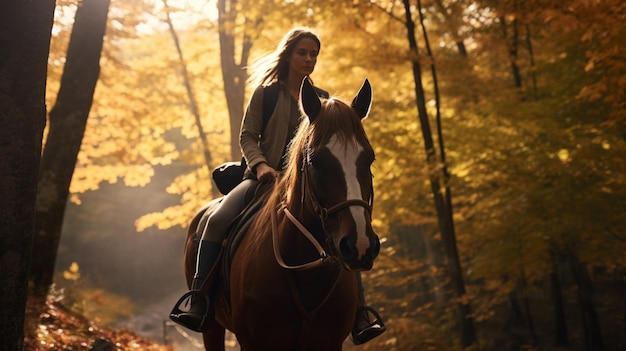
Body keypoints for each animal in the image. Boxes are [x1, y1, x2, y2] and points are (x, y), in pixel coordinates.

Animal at [182, 78, 380, 350]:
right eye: (316, 160)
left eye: (369, 158)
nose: (359, 244)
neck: (307, 271)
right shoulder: (254, 342)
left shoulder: (329, 342)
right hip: (211, 327)